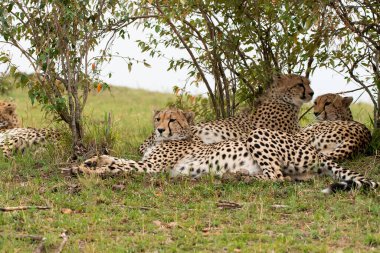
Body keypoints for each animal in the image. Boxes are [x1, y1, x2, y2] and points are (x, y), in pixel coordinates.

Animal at [64, 107, 378, 193]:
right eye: (158, 118)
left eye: (172, 120)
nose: (160, 130)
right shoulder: (146, 161)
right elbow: (114, 158)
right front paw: (90, 161)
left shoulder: (151, 168)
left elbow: (119, 165)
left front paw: (87, 170)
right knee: (292, 177)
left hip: (258, 134)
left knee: (276, 177)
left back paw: (235, 176)